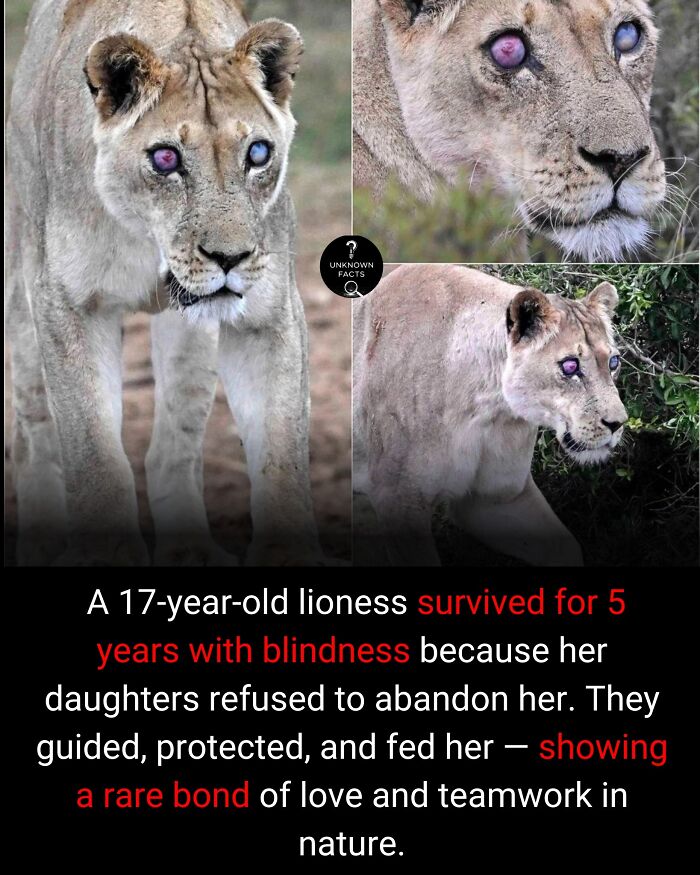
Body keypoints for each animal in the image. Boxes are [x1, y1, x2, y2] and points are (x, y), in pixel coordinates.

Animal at [6, 0, 322, 566]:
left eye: (258, 154)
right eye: (166, 158)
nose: (230, 257)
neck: (148, 245)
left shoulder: (269, 315)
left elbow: (283, 456)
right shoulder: (67, 304)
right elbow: (95, 455)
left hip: (191, 336)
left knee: (171, 451)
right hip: (21, 280)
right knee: (33, 428)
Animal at [353, 264, 629, 566]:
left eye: (613, 362)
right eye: (570, 366)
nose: (618, 424)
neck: (488, 407)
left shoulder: (494, 500)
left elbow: (566, 550)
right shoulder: (398, 500)